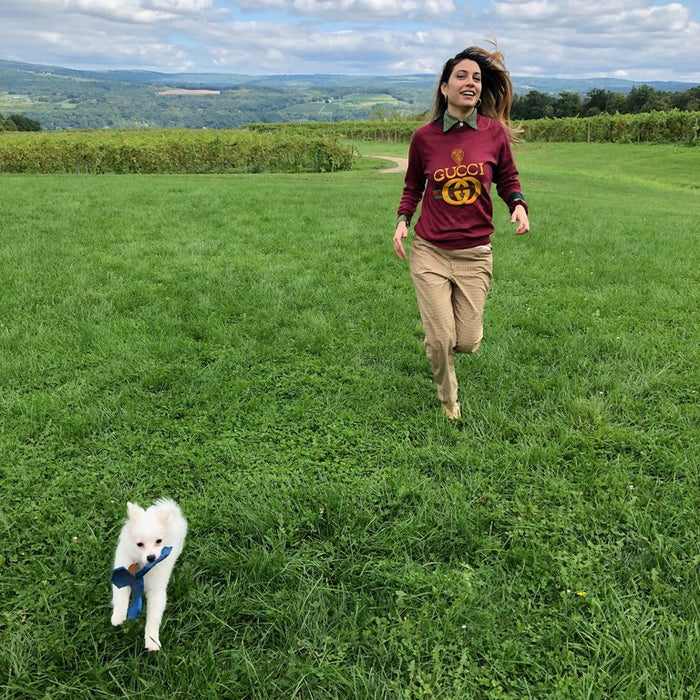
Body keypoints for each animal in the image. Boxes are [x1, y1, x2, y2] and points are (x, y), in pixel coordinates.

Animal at [110, 498, 187, 652]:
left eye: (159, 541)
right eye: (139, 544)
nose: (151, 557)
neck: (143, 567)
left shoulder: (157, 592)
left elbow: (153, 618)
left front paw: (152, 640)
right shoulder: (122, 575)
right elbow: (121, 598)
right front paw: (118, 616)